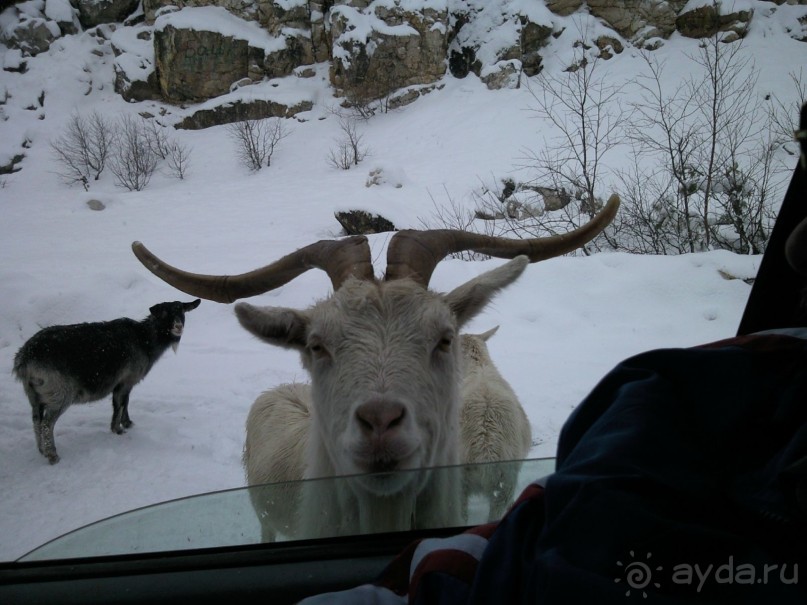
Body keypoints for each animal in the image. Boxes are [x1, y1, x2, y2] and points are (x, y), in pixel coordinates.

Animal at [14, 300, 200, 464]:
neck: (144, 340)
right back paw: (53, 456)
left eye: (182, 311)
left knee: (36, 420)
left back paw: (41, 451)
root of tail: (24, 360)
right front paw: (118, 429)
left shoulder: (125, 383)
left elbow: (125, 403)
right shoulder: (125, 381)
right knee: (47, 424)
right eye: (163, 313)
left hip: (35, 395)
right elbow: (120, 404)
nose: (178, 327)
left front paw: (128, 423)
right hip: (59, 393)